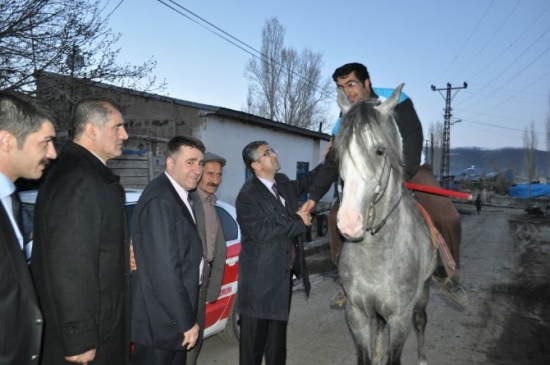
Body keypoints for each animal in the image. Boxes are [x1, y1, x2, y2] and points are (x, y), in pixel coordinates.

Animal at [334, 84, 438, 362]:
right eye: (339, 152)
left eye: (380, 150)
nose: (349, 222)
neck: (376, 253)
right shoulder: (356, 313)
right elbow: (365, 355)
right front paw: (375, 355)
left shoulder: (400, 318)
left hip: (423, 293)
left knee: (422, 320)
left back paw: (422, 359)